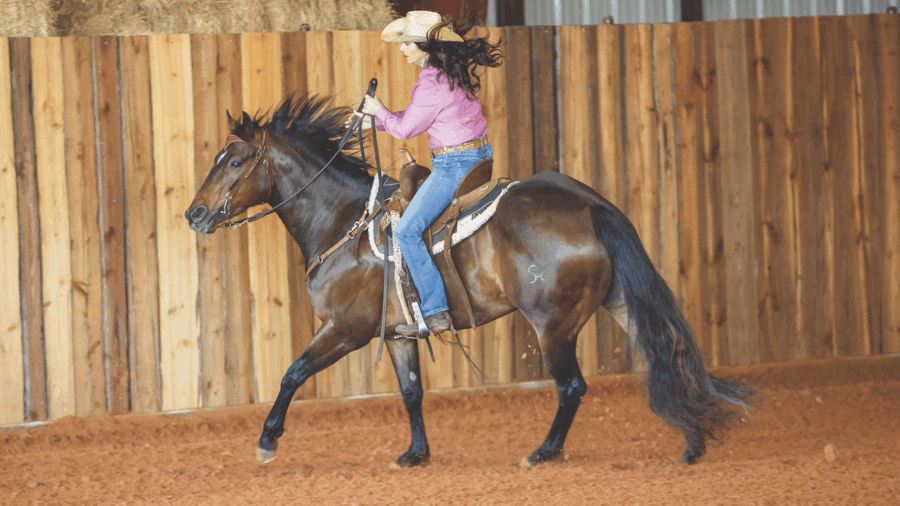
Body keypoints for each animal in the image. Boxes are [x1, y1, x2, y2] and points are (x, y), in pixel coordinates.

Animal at [185, 94, 753, 468]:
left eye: (235, 161)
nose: (195, 214)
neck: (344, 222)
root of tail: (591, 206)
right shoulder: (397, 334)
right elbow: (411, 392)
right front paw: (416, 454)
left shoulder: (345, 330)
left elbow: (292, 374)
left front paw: (267, 440)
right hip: (618, 305)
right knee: (664, 356)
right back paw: (694, 440)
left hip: (553, 326)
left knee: (572, 386)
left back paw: (543, 452)